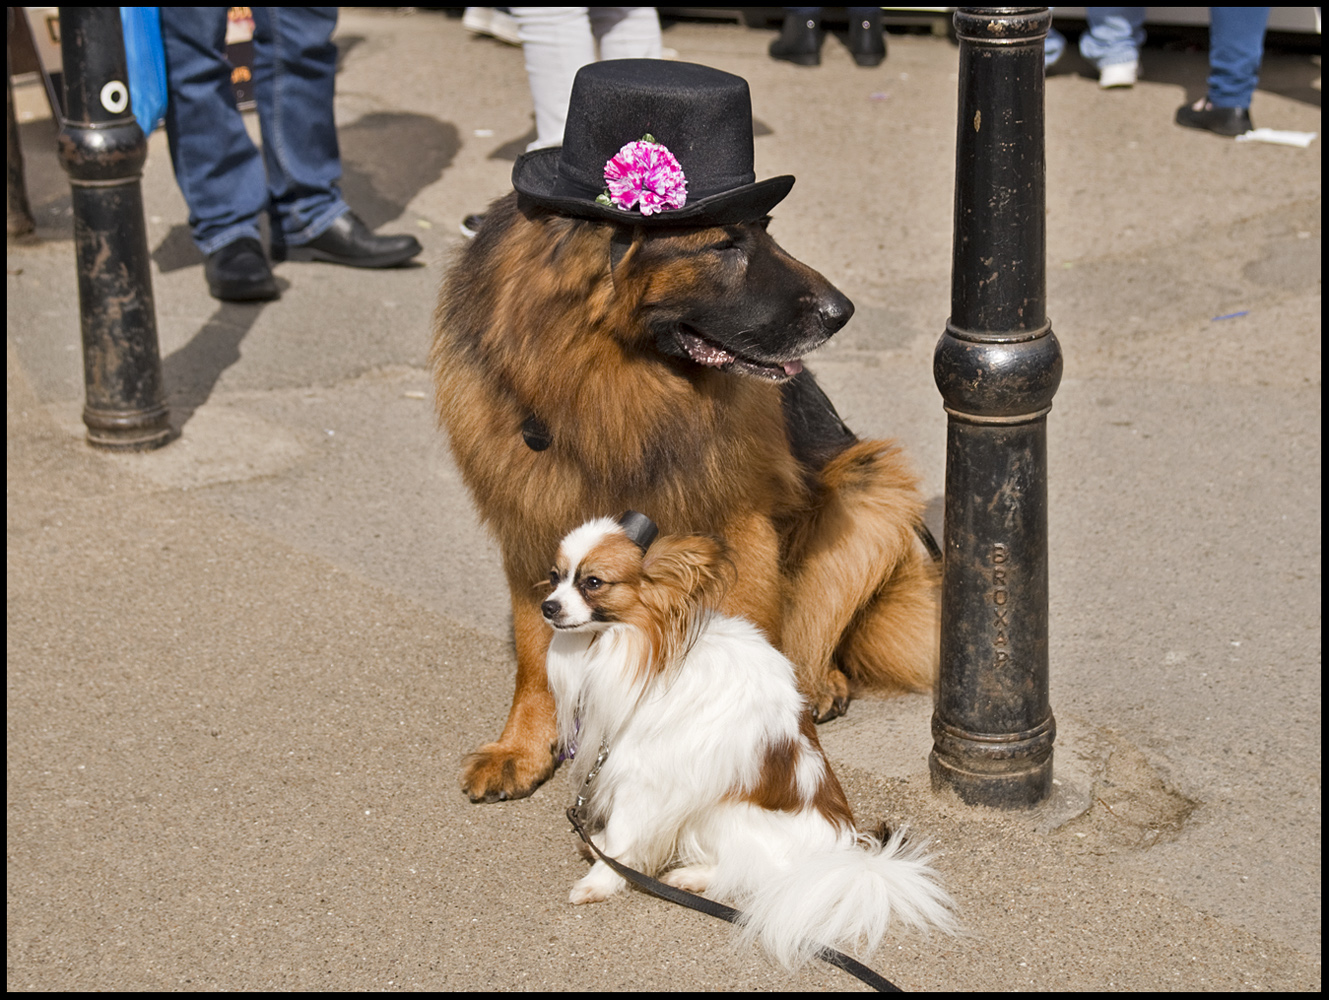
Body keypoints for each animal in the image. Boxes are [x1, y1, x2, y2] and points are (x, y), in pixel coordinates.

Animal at [430, 192, 940, 803]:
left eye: (765, 227)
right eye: (724, 244)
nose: (843, 312)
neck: (608, 379)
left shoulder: (737, 524)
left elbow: (756, 629)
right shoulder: (530, 521)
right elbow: (535, 650)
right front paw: (522, 746)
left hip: (868, 487)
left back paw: (817, 682)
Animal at [539, 510, 956, 962]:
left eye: (593, 582)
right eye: (555, 577)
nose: (547, 606)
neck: (648, 651)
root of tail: (841, 855)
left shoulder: (644, 779)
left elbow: (622, 835)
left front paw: (601, 879)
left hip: (723, 811)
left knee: (750, 870)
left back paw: (693, 877)